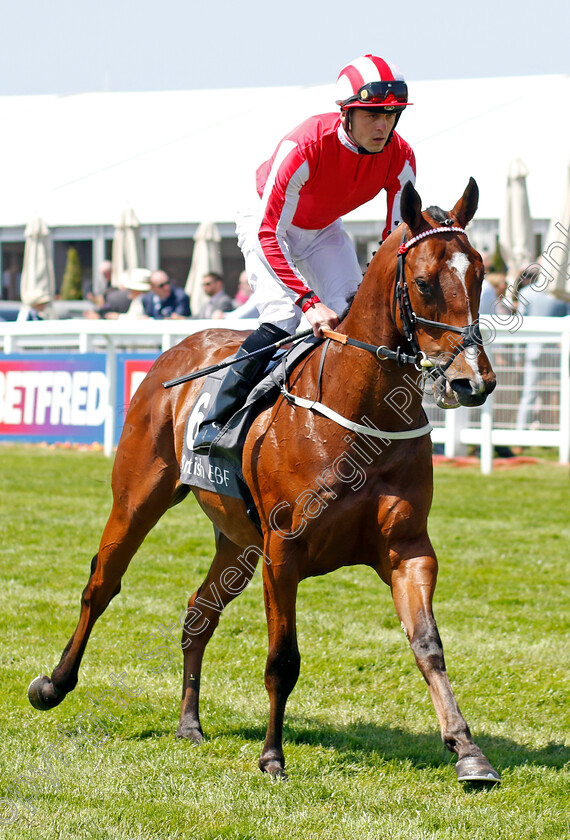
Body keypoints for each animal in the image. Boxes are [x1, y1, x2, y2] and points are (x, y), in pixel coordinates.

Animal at [27, 180, 496, 784]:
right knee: (101, 586)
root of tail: (176, 351)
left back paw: (189, 721)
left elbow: (428, 645)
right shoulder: (284, 550)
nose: (473, 382)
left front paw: (467, 750)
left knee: (198, 612)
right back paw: (53, 684)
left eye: (479, 273)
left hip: (237, 540)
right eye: (423, 282)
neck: (361, 413)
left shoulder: (409, 548)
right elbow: (283, 658)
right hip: (137, 499)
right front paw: (272, 755)